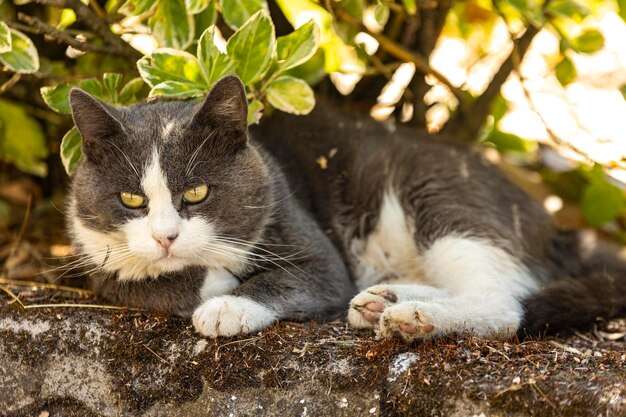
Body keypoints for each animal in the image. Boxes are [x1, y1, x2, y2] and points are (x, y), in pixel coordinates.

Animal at [68, 75, 624, 342]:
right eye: (131, 199)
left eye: (198, 193)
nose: (165, 237)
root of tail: (555, 224)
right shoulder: (90, 248)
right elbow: (119, 280)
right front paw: (204, 278)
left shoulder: (308, 237)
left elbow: (302, 277)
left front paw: (227, 302)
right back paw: (383, 300)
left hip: (440, 192)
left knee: (503, 300)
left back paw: (416, 317)